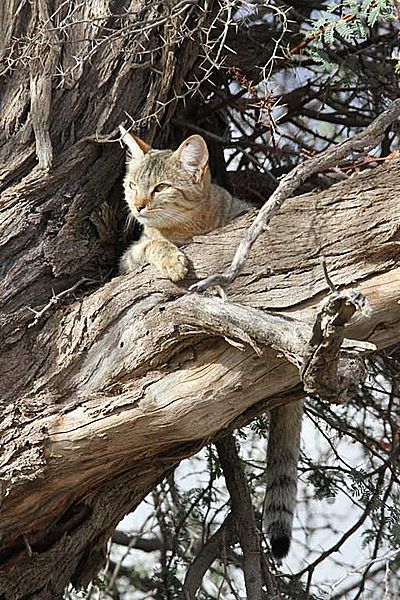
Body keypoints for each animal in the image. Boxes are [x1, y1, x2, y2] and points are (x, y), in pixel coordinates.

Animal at [119, 127, 304, 564]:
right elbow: (151, 245)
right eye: (132, 185)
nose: (137, 205)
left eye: (161, 188)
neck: (190, 226)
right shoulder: (130, 257)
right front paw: (171, 259)